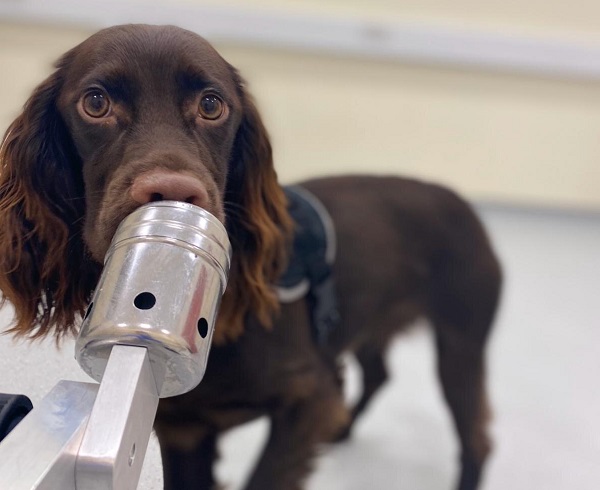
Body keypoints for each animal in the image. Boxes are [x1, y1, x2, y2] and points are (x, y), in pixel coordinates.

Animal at [0, 25, 502, 490]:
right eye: (96, 102)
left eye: (211, 105)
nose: (175, 194)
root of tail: (462, 203)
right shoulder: (183, 429)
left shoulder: (308, 396)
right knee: (379, 374)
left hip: (461, 342)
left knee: (475, 437)